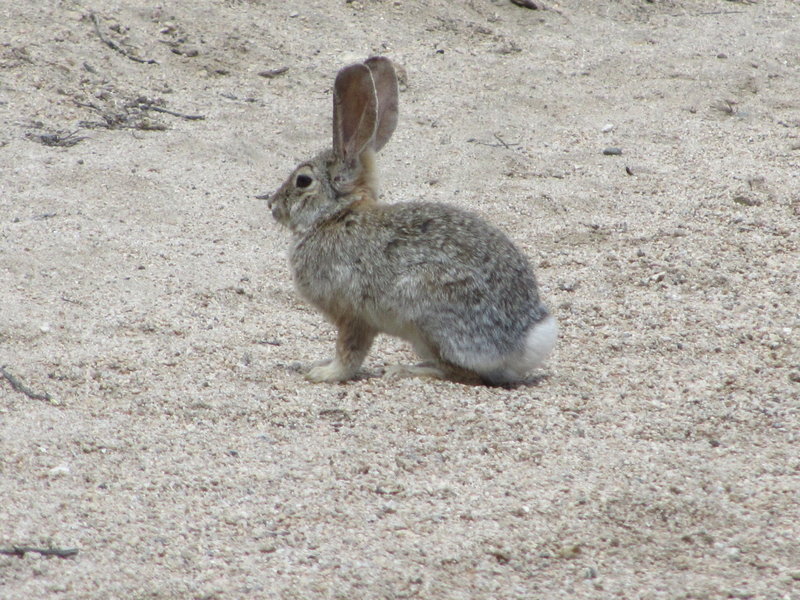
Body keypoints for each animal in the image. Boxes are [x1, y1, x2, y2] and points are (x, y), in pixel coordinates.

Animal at [268, 57, 556, 384]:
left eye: (303, 181)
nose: (272, 205)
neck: (336, 215)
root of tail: (525, 341)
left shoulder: (354, 314)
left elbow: (350, 351)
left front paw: (324, 373)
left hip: (427, 315)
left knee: (460, 372)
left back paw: (405, 369)